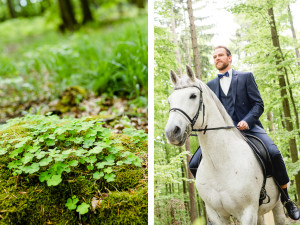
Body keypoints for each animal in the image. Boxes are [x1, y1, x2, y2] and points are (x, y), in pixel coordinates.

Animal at [165, 66, 284, 224]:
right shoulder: (216, 215)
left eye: (193, 96)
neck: (219, 164)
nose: (172, 132)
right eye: (170, 101)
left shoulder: (247, 213)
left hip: (276, 206)